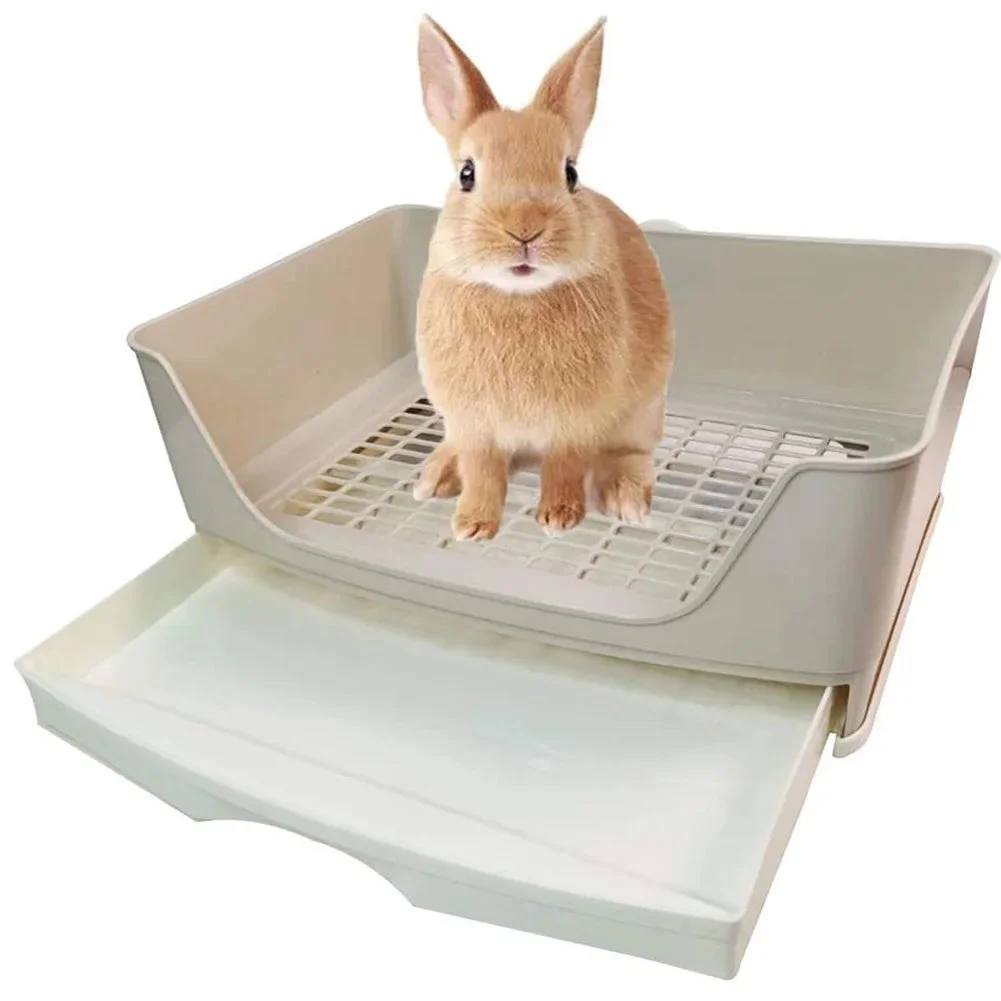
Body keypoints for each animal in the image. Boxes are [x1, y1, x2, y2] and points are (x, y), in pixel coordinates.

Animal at [414, 16, 674, 541]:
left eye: (570, 173)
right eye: (467, 174)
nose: (525, 228)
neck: (517, 297)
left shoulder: (576, 424)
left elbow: (565, 466)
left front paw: (559, 517)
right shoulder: (474, 426)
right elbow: (483, 472)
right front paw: (472, 525)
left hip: (642, 412)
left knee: (629, 454)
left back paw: (626, 499)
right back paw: (437, 475)